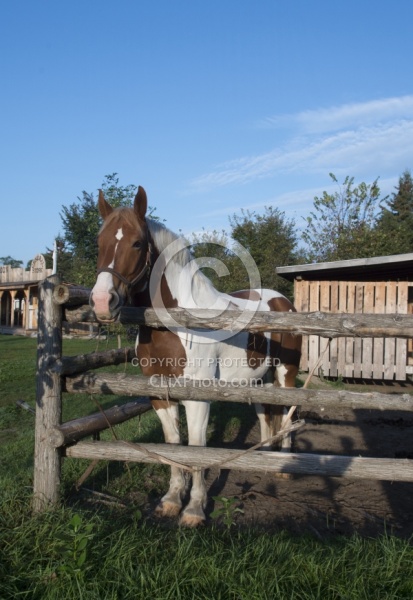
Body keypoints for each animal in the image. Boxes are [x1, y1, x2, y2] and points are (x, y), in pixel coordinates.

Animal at [90, 186, 300, 524]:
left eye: (137, 243)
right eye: (100, 243)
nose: (101, 302)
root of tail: (283, 302)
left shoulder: (198, 397)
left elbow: (197, 446)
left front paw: (194, 509)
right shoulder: (159, 394)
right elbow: (174, 444)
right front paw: (172, 500)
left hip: (286, 374)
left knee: (289, 410)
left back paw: (284, 466)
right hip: (258, 380)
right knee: (268, 415)